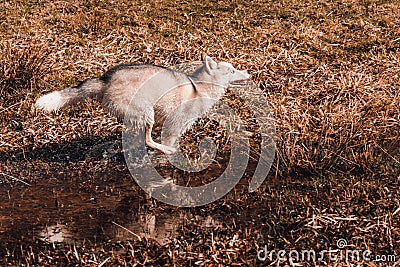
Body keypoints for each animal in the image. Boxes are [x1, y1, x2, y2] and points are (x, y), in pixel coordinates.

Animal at [36, 54, 248, 155]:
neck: (199, 86)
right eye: (232, 71)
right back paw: (163, 149)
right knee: (147, 140)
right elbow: (169, 140)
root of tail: (105, 79)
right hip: (147, 112)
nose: (248, 72)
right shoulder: (174, 124)